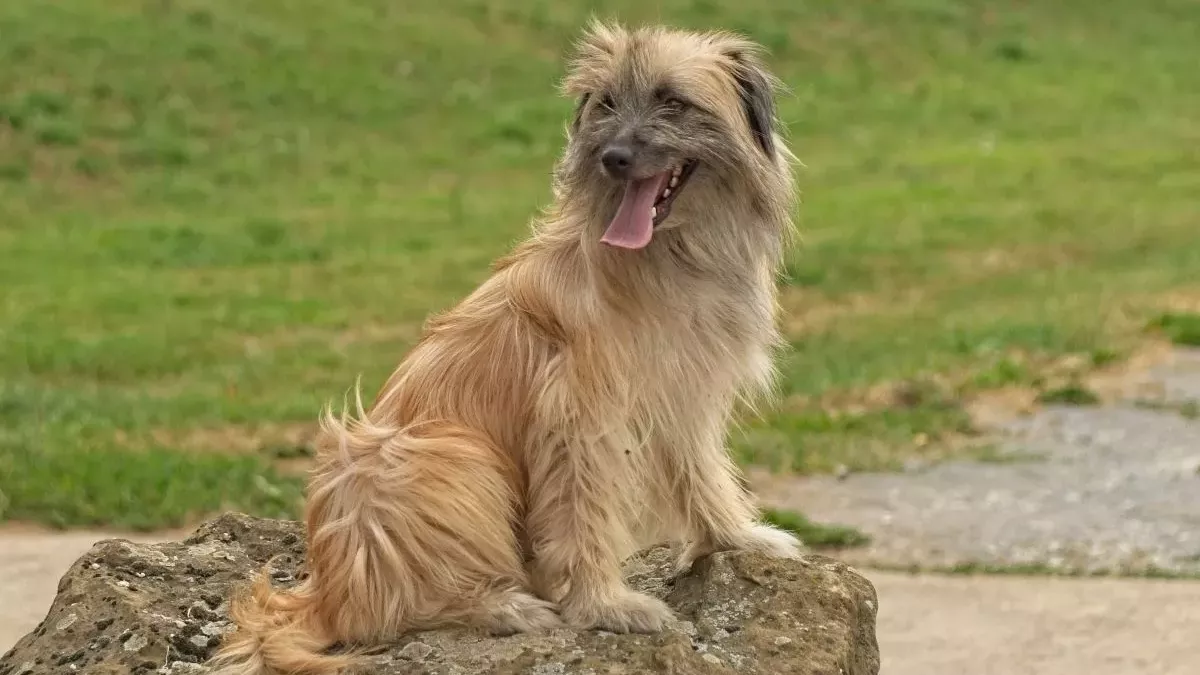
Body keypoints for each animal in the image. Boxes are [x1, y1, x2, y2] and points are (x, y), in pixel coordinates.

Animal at [211, 21, 801, 672]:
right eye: (607, 103)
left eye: (672, 100)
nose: (613, 157)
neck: (669, 255)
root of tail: (325, 596)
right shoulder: (577, 416)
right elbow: (583, 511)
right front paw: (606, 605)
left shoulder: (684, 393)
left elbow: (702, 473)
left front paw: (737, 536)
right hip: (443, 454)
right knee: (387, 612)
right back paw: (502, 606)